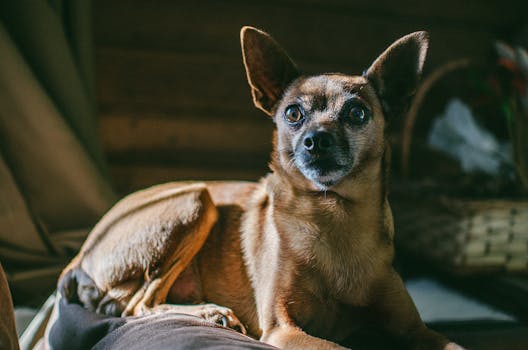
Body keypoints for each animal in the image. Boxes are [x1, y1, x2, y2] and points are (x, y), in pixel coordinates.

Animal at [49, 28, 462, 350]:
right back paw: (209, 313)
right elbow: (336, 346)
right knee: (137, 305)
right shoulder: (283, 328)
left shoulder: (416, 329)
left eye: (357, 113)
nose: (316, 140)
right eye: (293, 113)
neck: (333, 214)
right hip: (195, 199)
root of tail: (83, 250)